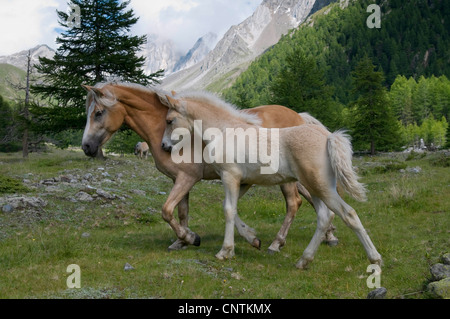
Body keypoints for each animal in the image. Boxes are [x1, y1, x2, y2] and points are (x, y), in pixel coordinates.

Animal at [80, 82, 338, 255]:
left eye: (99, 112)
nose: (86, 147)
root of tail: (299, 117)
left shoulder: (188, 178)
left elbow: (167, 210)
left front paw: (191, 237)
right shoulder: (180, 180)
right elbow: (183, 211)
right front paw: (182, 241)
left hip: (289, 180)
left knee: (295, 203)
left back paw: (278, 243)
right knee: (315, 200)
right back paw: (330, 235)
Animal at [162, 93, 384, 270]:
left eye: (170, 120)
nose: (164, 146)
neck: (225, 130)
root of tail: (328, 136)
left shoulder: (230, 176)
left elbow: (228, 210)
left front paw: (225, 251)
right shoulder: (243, 181)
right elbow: (231, 207)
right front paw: (251, 239)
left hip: (320, 186)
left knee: (348, 214)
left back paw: (375, 259)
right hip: (315, 188)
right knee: (324, 217)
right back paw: (303, 260)